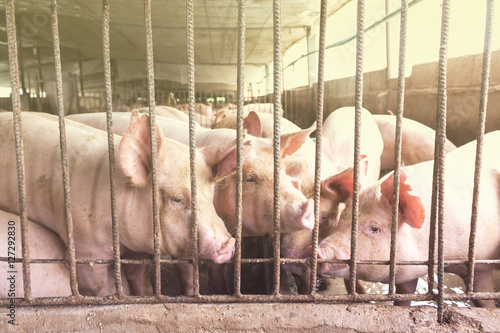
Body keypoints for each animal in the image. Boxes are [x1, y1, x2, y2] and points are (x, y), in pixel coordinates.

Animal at [0, 111, 240, 296]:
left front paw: (144, 295)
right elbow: (102, 287)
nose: (229, 243)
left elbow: (137, 275)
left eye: (210, 196)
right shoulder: (85, 249)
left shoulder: (139, 244)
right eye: (177, 199)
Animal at [316, 130, 500, 306]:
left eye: (375, 228)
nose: (318, 251)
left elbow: (482, 295)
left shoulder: (480, 264)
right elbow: (404, 295)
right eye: (342, 219)